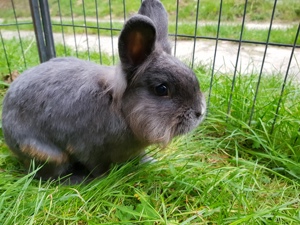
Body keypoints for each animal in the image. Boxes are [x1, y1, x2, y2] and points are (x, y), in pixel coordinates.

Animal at [1, 0, 206, 183]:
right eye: (162, 89)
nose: (199, 112)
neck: (120, 109)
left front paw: (148, 161)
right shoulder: (90, 151)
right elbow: (98, 168)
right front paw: (105, 179)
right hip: (47, 153)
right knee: (47, 175)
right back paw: (77, 180)